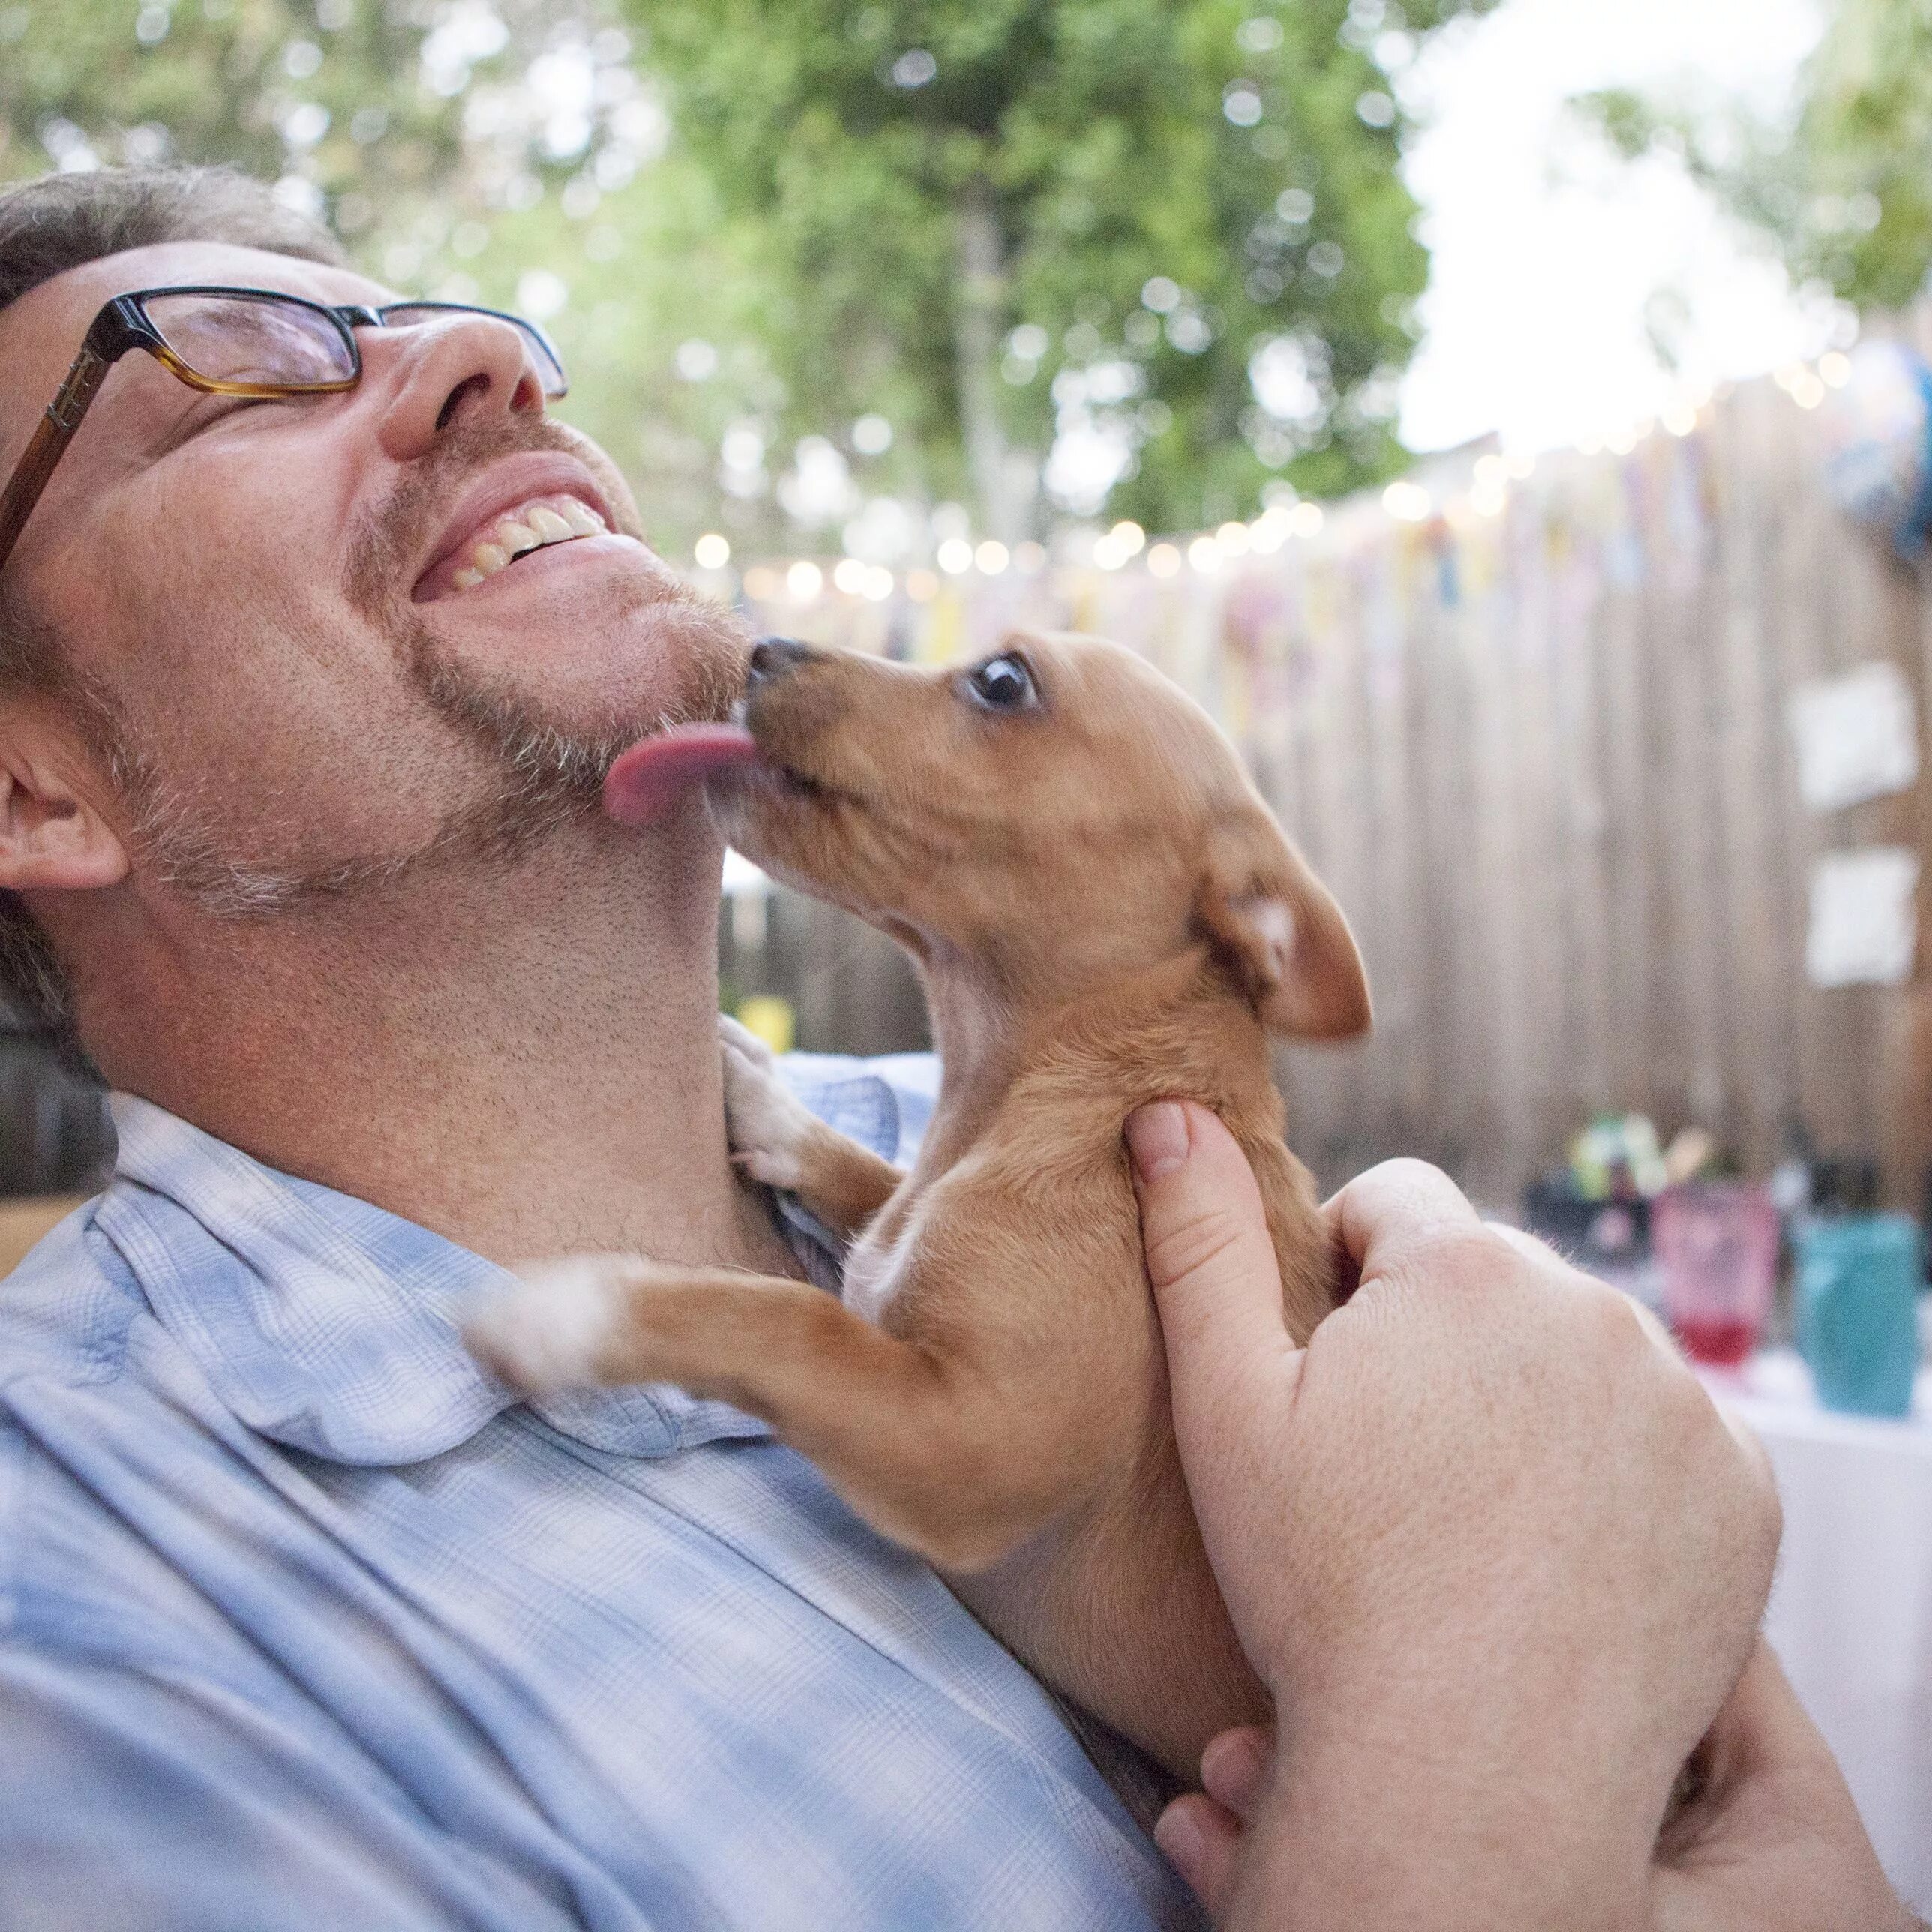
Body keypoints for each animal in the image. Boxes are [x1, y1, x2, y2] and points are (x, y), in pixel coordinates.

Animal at [467, 633, 1376, 1777]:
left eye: (1002, 680)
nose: (761, 646)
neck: (1039, 1088)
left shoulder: (970, 1440)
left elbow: (788, 1320)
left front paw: (579, 1308)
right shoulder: (909, 1245)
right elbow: (870, 1188)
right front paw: (766, 1101)